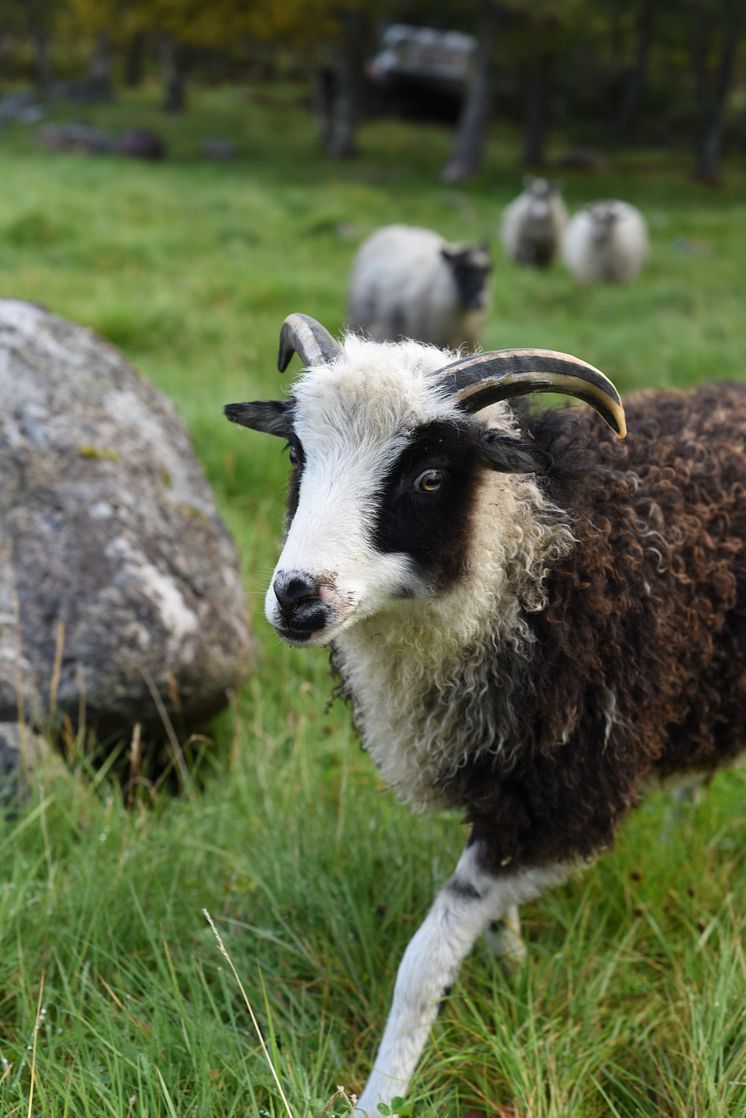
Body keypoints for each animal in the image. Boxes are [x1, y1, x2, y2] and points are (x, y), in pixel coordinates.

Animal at [228, 313, 746, 1118]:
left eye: (429, 477)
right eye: (294, 452)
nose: (296, 596)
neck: (544, 562)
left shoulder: (570, 802)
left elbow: (425, 959)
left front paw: (380, 1095)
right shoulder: (498, 776)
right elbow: (482, 913)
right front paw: (514, 963)